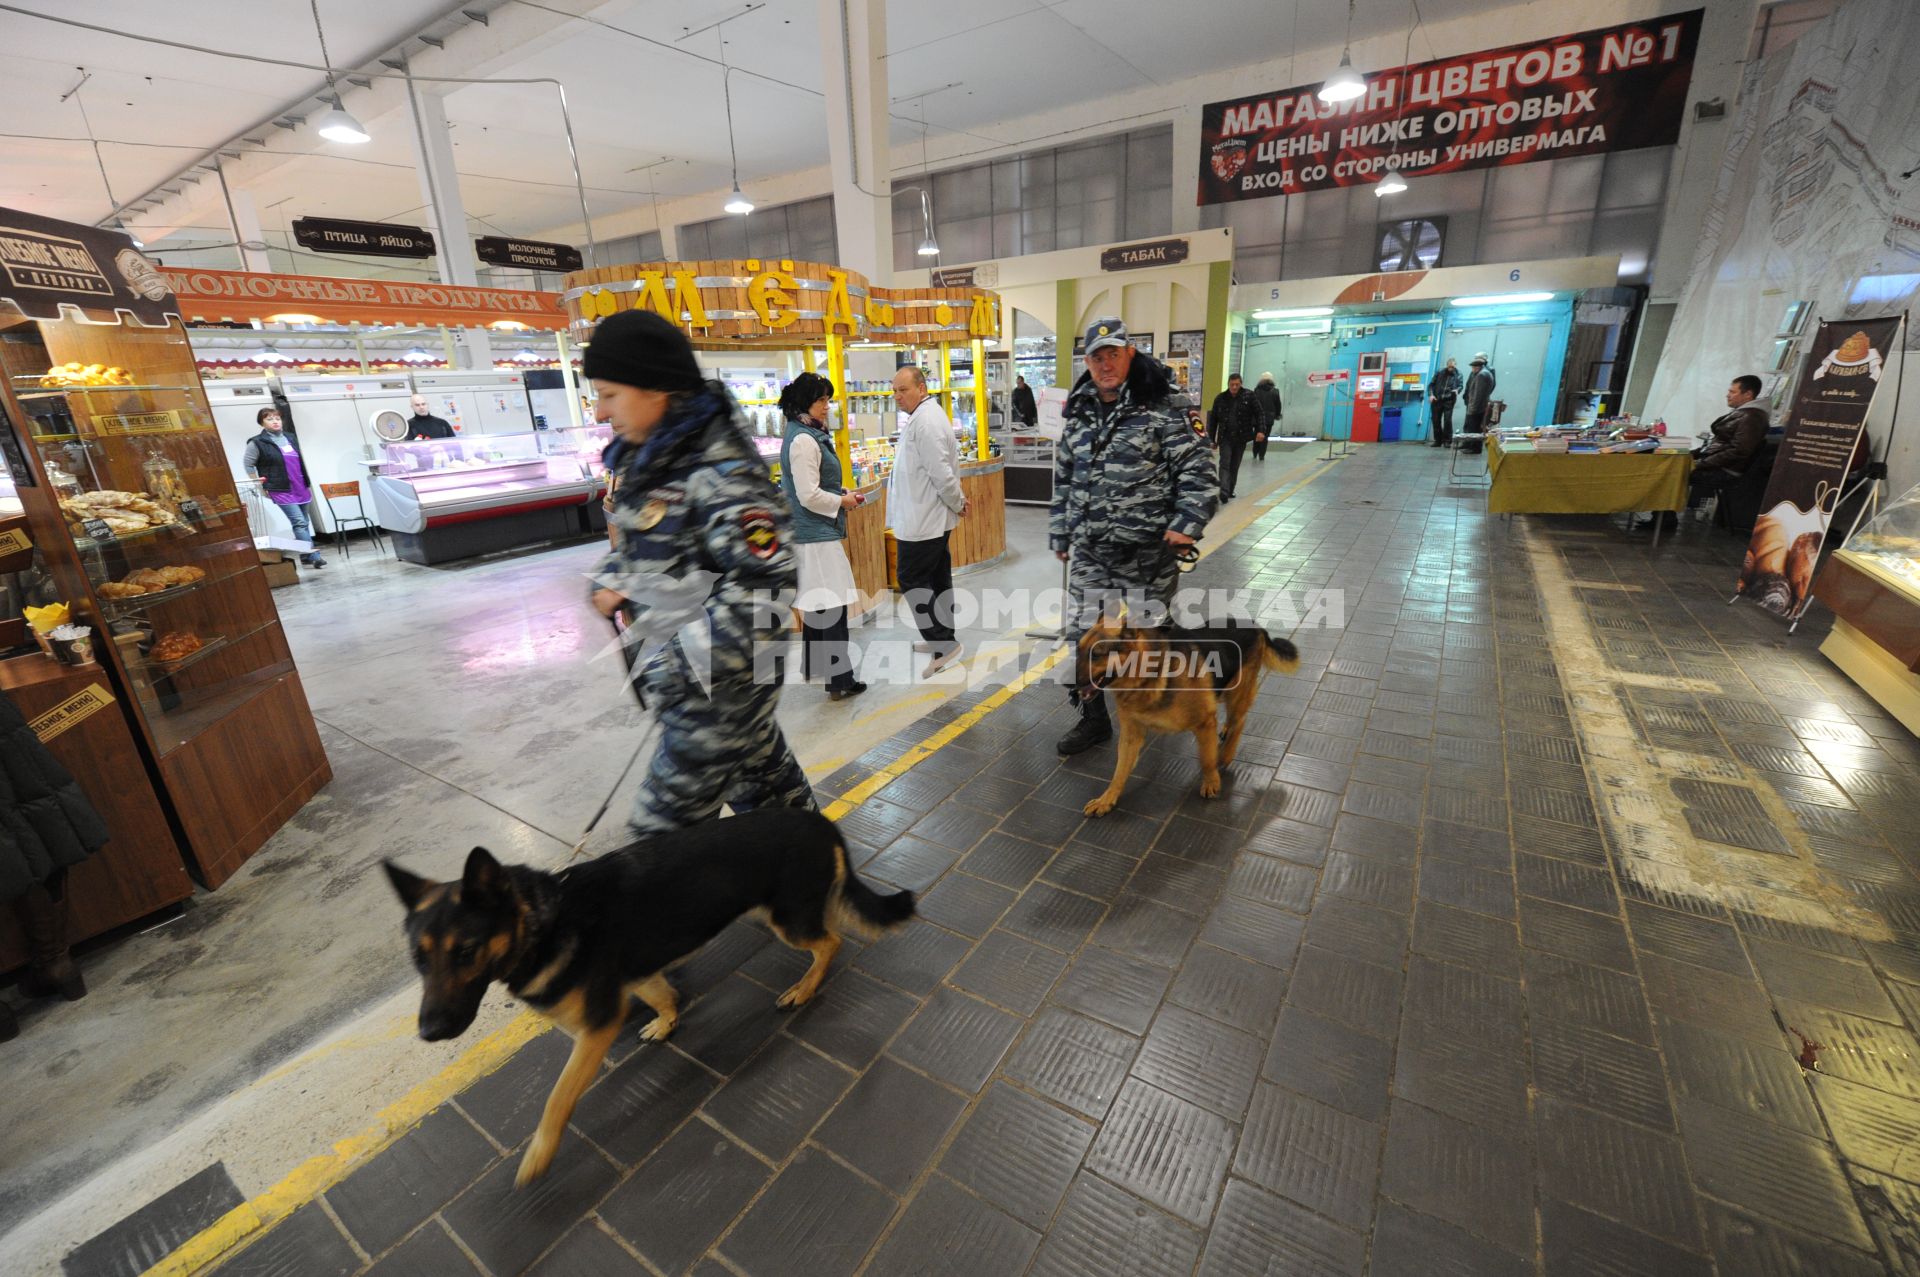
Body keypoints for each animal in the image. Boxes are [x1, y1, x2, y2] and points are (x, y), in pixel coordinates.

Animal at [384, 806, 913, 1182]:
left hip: (787, 920)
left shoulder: (594, 1030)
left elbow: (557, 1099)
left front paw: (539, 1155)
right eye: (418, 959)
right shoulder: (636, 977)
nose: (429, 1032)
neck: (544, 921)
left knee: (832, 942)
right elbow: (662, 995)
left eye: (466, 951)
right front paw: (666, 1022)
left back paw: (804, 989)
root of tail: (819, 821)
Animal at [1075, 618, 1297, 818]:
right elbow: (1119, 771)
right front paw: (1107, 799)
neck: (1151, 672)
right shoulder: (1131, 737)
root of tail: (1255, 626)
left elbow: (1207, 759)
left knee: (1240, 722)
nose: (1071, 685)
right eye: (1078, 651)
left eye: (1096, 655)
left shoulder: (1205, 722)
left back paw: (1226, 753)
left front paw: (1211, 781)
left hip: (1236, 695)